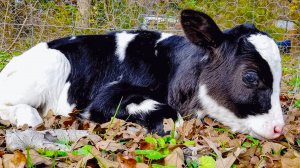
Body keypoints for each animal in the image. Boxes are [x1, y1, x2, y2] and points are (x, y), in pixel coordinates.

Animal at [0, 10, 284, 139]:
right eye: (250, 77)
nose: (279, 128)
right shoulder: (106, 95)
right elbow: (171, 118)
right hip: (51, 65)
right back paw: (27, 116)